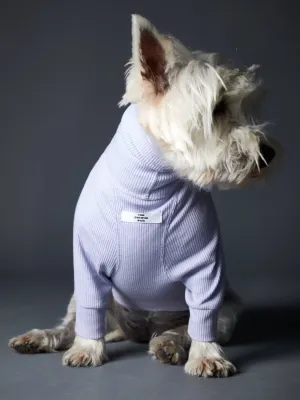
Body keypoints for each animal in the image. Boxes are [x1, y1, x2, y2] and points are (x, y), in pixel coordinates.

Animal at [8, 14, 276, 376]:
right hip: (94, 298)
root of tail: (138, 330)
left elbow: (203, 315)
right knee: (72, 324)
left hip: (228, 309)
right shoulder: (88, 263)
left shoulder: (206, 264)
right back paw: (39, 337)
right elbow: (87, 314)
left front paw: (207, 356)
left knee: (186, 327)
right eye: (218, 107)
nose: (269, 153)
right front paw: (87, 349)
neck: (149, 188)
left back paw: (168, 343)